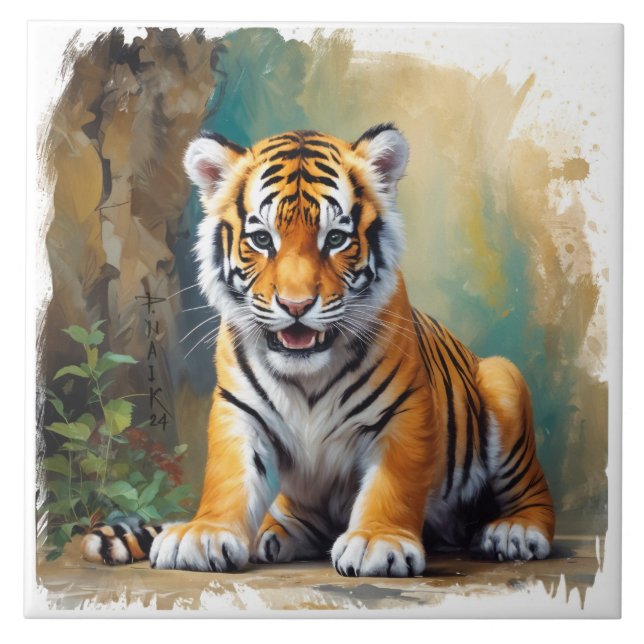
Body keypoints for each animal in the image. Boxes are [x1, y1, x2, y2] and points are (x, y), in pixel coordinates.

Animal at [81, 124, 555, 577]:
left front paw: (377, 541)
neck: (306, 375)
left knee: (536, 494)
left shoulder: (403, 410)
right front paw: (203, 534)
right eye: (261, 239)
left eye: (336, 238)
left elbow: (393, 482)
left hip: (503, 381)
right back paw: (273, 534)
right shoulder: (238, 408)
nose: (296, 305)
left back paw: (516, 531)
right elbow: (229, 475)